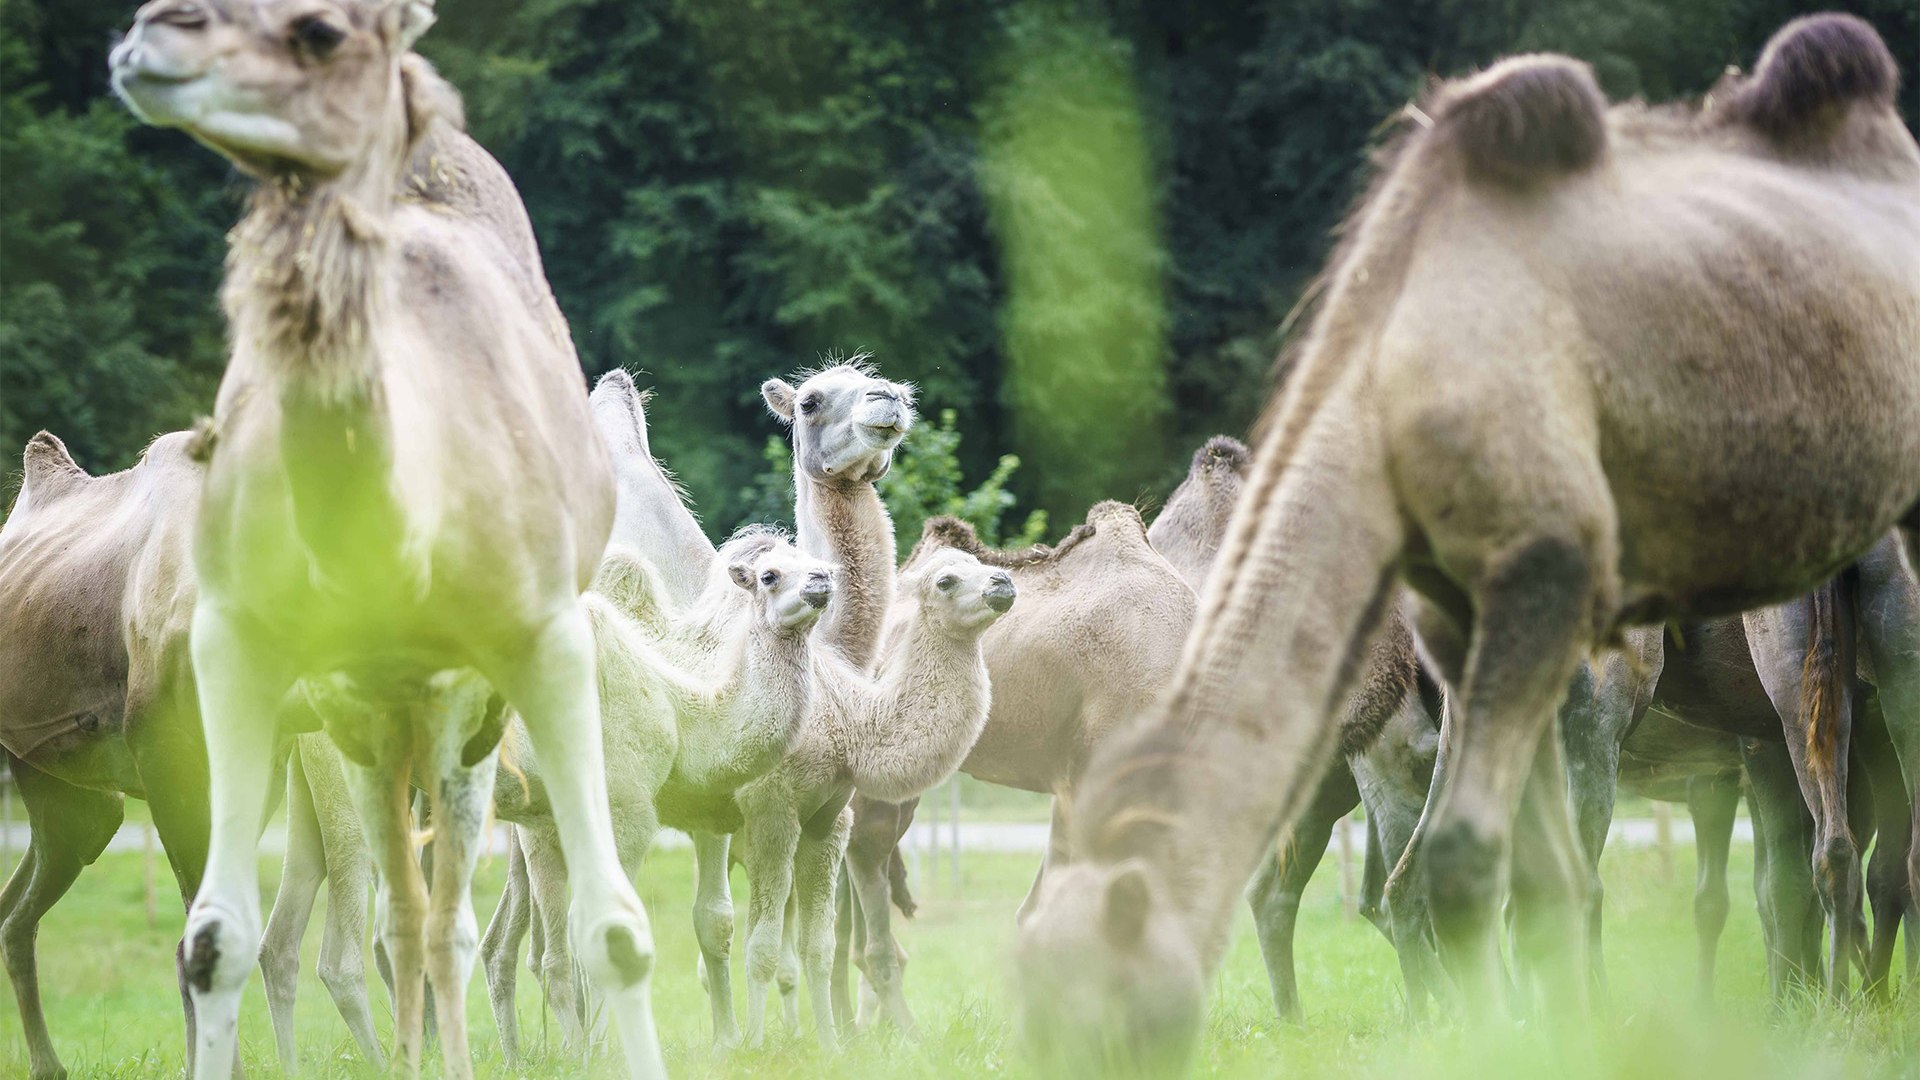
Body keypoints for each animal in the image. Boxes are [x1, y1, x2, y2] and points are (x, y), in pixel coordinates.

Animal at [112, 4, 668, 1068]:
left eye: (323, 33)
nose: (150, 33)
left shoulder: (542, 644)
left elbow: (615, 929)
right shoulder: (238, 644)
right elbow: (213, 938)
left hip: (465, 719)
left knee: (444, 918)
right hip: (358, 724)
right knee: (403, 918)